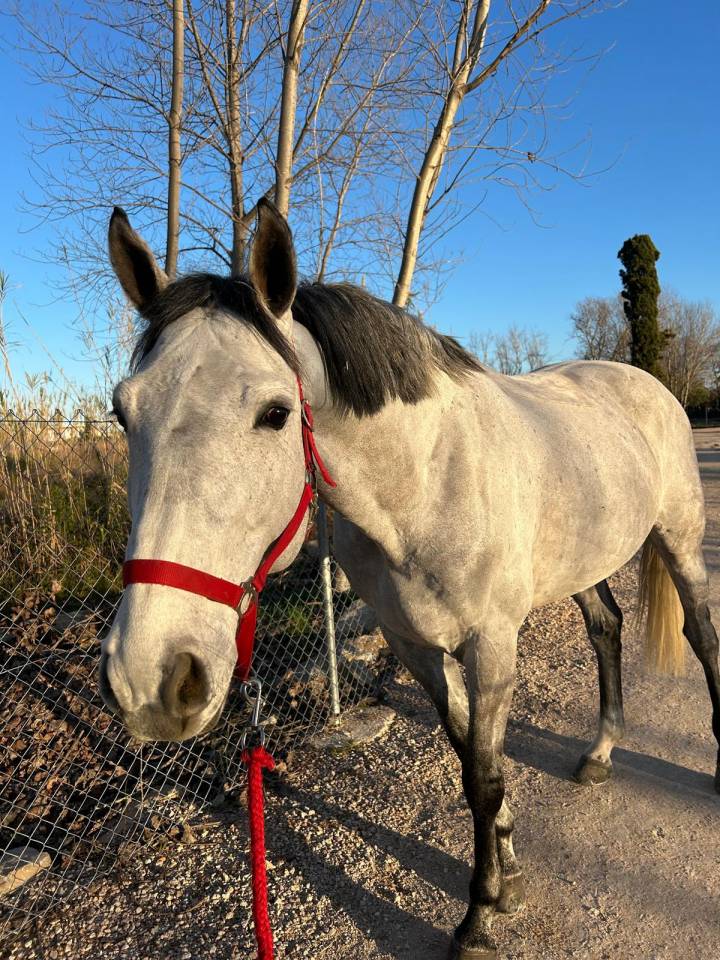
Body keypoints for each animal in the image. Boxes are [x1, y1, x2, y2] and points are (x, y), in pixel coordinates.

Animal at [100, 199, 720, 959]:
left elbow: (484, 773)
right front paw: (506, 872)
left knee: (701, 634)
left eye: (275, 413)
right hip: (584, 559)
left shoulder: (491, 646)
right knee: (607, 628)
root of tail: (643, 383)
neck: (424, 485)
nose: (149, 679)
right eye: (122, 411)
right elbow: (471, 763)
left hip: (680, 541)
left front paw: (480, 913)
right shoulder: (416, 648)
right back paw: (601, 750)